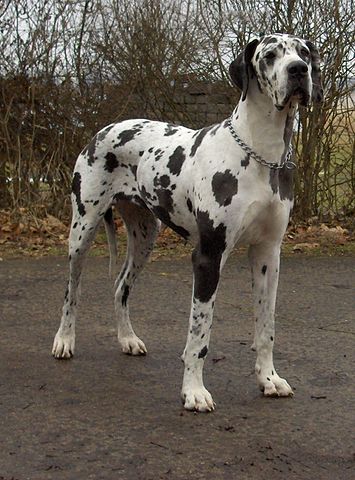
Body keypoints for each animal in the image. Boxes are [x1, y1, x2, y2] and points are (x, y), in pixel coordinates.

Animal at [52, 31, 322, 410]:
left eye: (304, 52)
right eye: (270, 55)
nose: (298, 70)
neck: (260, 152)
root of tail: (106, 127)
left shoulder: (268, 254)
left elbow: (266, 327)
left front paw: (269, 379)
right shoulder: (208, 256)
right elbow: (200, 334)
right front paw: (193, 391)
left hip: (144, 238)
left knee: (121, 287)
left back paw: (127, 339)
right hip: (82, 230)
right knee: (71, 289)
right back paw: (64, 341)